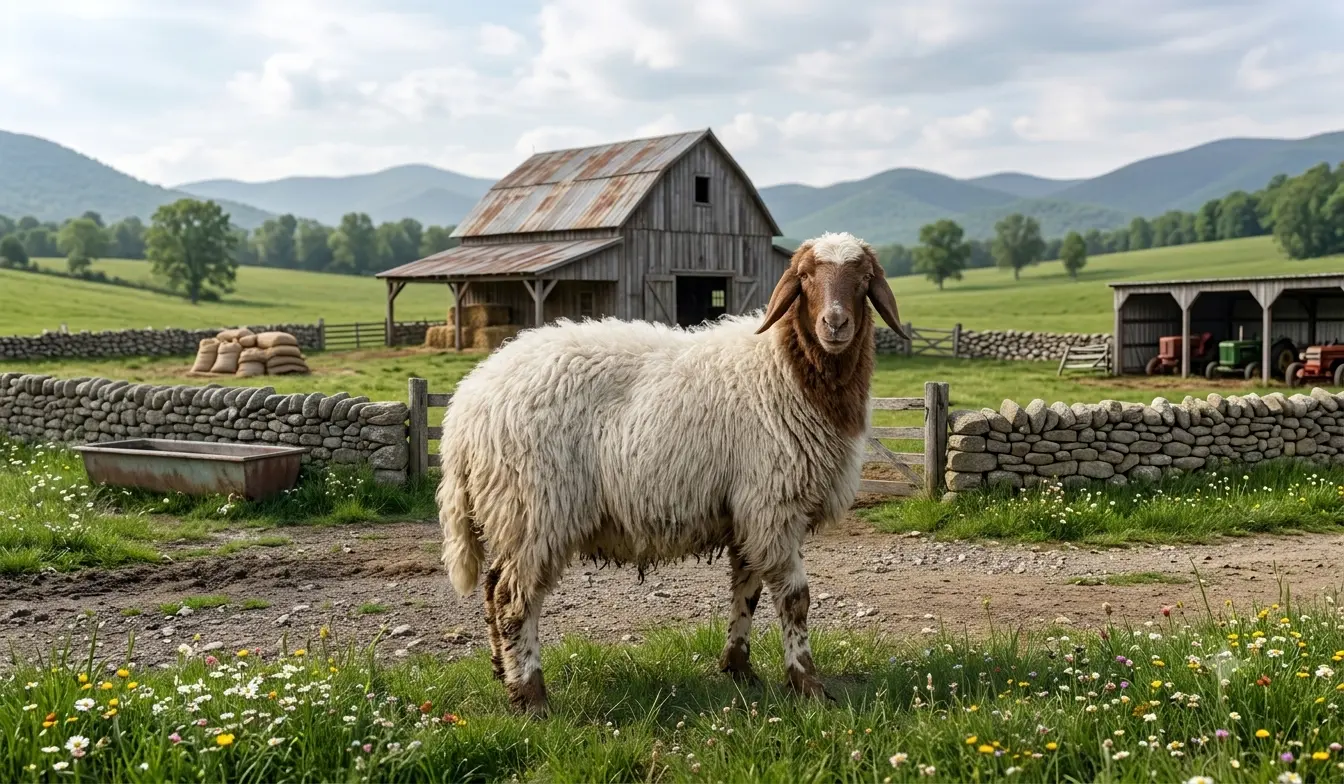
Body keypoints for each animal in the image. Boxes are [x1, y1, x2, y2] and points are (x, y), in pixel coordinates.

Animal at [436, 231, 907, 716]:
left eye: (864, 278)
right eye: (807, 277)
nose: (835, 324)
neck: (786, 368)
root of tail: (466, 403)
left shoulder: (747, 512)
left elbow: (747, 590)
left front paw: (739, 668)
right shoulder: (772, 505)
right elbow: (796, 601)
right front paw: (807, 683)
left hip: (511, 511)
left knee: (493, 587)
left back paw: (502, 672)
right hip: (534, 506)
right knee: (514, 600)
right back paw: (531, 695)